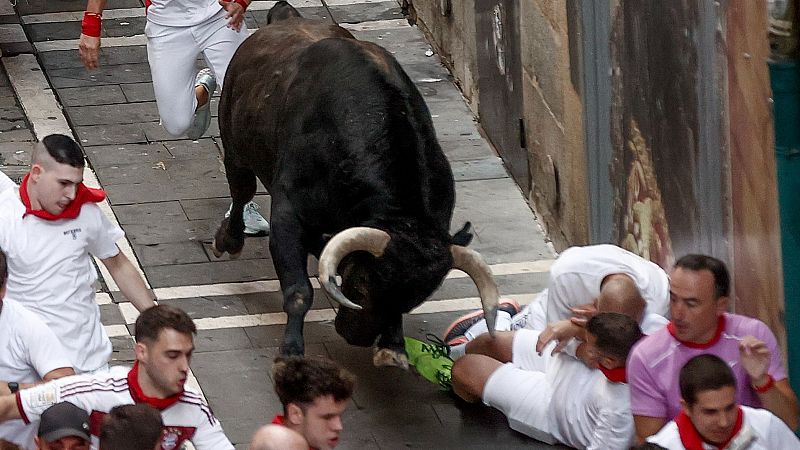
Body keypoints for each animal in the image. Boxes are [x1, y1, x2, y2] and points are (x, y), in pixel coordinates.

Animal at [212, 3, 500, 368]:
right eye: (364, 286)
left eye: (414, 299)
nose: (356, 337)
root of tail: (286, 18)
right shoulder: (289, 216)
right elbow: (298, 290)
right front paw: (291, 352)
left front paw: (392, 347)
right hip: (235, 149)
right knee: (241, 192)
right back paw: (229, 239)